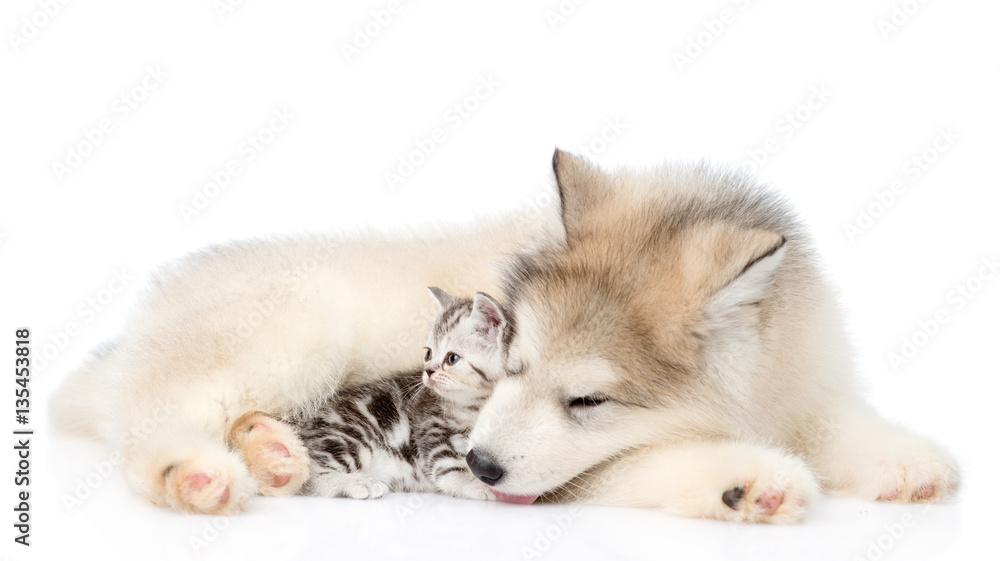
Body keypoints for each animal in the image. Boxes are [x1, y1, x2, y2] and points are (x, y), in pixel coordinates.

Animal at [290, 288, 508, 498]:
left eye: (452, 358)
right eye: (428, 353)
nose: (428, 371)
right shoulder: (431, 426)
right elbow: (448, 465)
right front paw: (474, 484)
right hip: (349, 434)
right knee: (308, 477)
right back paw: (357, 483)